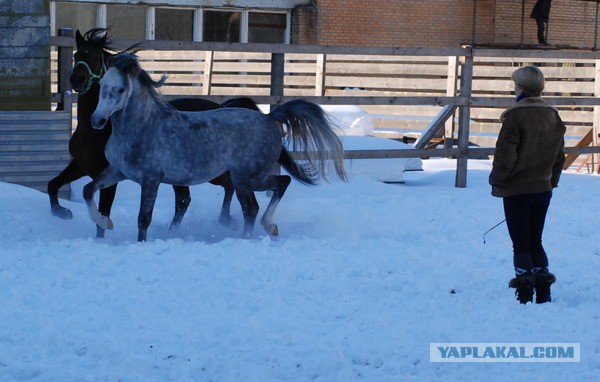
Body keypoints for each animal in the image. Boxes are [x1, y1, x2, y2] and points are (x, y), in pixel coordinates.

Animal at [48, 29, 258, 237]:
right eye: (76, 55)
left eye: (94, 57)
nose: (77, 79)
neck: (93, 133)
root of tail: (225, 106)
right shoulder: (81, 166)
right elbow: (53, 185)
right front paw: (63, 212)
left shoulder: (110, 176)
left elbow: (102, 216)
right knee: (185, 199)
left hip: (214, 171)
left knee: (228, 187)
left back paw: (225, 219)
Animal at [84, 52, 346, 240]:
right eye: (102, 85)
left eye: (120, 89)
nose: (96, 121)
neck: (143, 127)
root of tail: (269, 118)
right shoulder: (118, 172)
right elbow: (88, 190)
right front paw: (104, 222)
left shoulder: (151, 180)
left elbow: (143, 220)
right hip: (245, 180)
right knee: (257, 203)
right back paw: (260, 231)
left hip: (247, 178)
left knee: (268, 195)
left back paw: (260, 231)